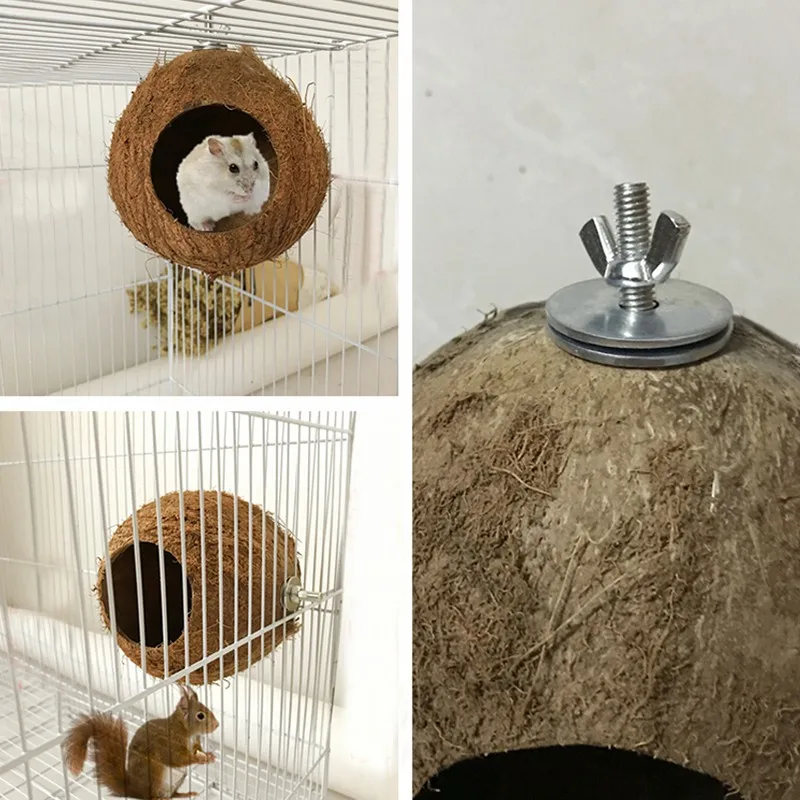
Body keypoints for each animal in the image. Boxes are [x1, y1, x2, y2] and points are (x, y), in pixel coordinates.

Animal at [63, 684, 219, 799]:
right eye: (200, 715)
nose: (217, 725)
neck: (187, 732)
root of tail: (135, 791)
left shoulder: (195, 742)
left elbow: (197, 749)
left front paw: (209, 755)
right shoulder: (168, 743)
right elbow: (177, 758)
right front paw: (199, 759)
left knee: (172, 795)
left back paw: (184, 794)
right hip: (153, 771)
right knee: (152, 796)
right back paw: (159, 797)